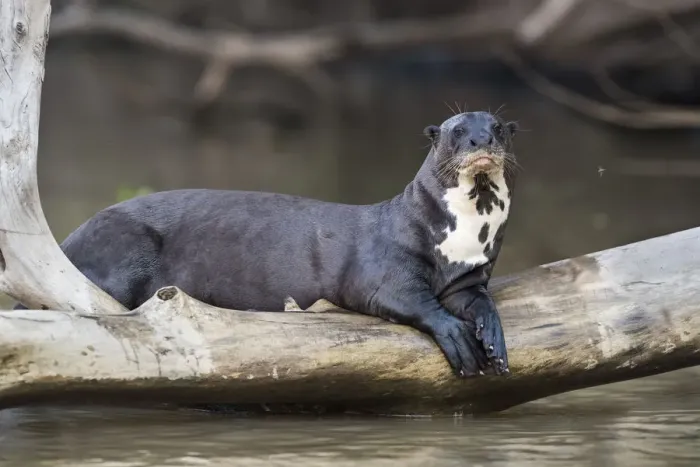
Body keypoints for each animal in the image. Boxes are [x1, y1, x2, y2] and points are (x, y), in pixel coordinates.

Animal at [16, 110, 519, 377]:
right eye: (456, 131)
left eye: (497, 126)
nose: (480, 139)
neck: (462, 238)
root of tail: (70, 238)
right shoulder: (381, 271)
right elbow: (409, 298)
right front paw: (456, 335)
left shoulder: (470, 275)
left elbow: (478, 300)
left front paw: (492, 336)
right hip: (122, 242)